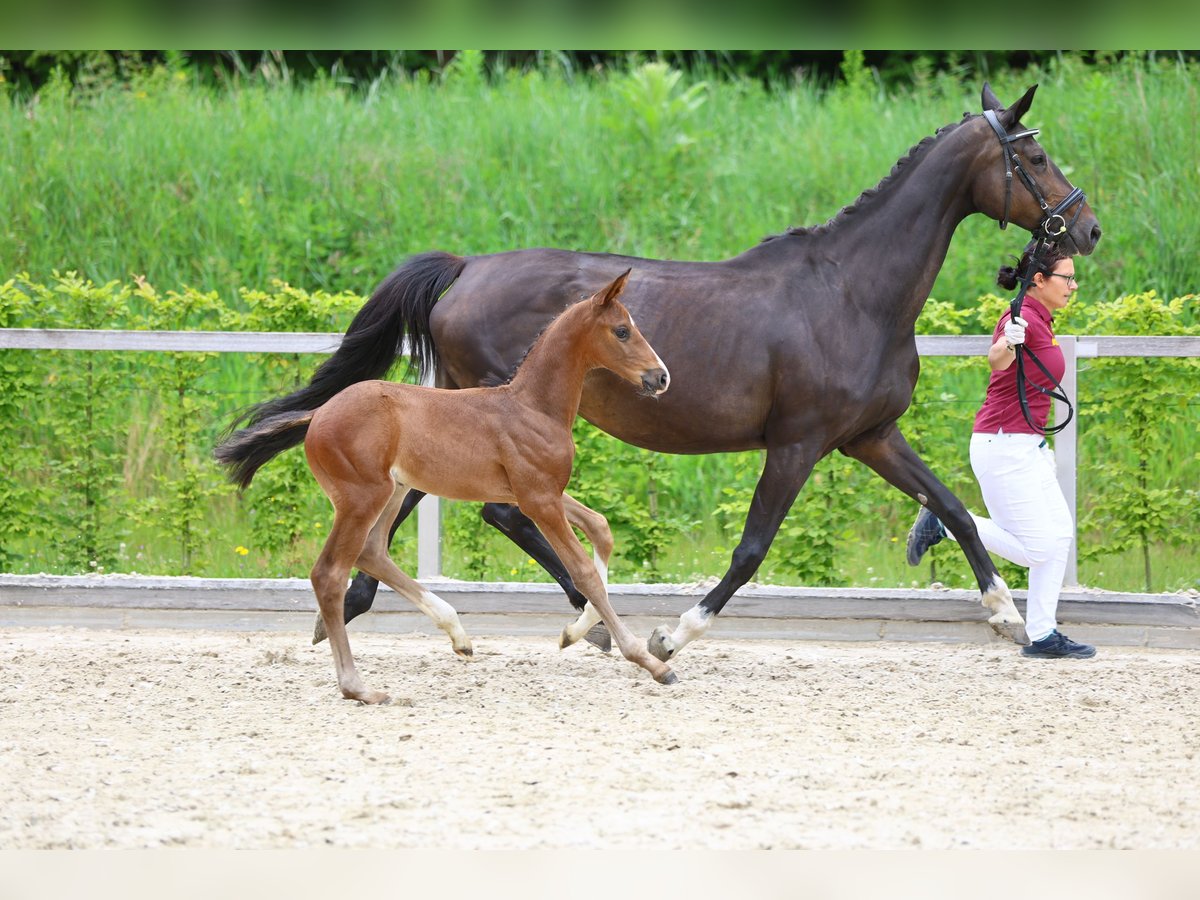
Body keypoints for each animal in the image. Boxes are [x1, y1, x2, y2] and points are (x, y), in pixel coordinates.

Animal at [216, 271, 676, 700]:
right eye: (622, 330)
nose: (661, 377)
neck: (531, 407)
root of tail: (319, 414)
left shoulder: (543, 492)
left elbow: (601, 528)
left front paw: (576, 632)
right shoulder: (538, 499)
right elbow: (584, 573)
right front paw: (650, 661)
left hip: (394, 491)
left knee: (372, 551)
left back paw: (459, 636)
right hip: (362, 498)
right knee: (329, 573)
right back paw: (358, 687)